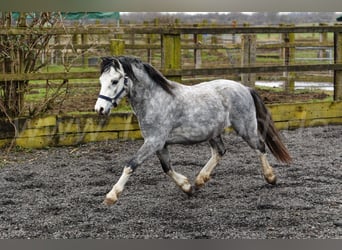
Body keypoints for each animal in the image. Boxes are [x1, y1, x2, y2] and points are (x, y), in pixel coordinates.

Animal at [94, 55, 292, 206]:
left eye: (114, 81)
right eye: (101, 81)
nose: (100, 109)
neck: (155, 100)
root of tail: (244, 87)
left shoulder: (154, 141)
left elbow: (131, 165)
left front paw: (111, 196)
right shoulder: (159, 144)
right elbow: (167, 168)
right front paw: (187, 187)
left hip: (246, 128)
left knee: (260, 147)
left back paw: (271, 177)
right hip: (213, 132)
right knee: (220, 151)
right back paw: (200, 180)